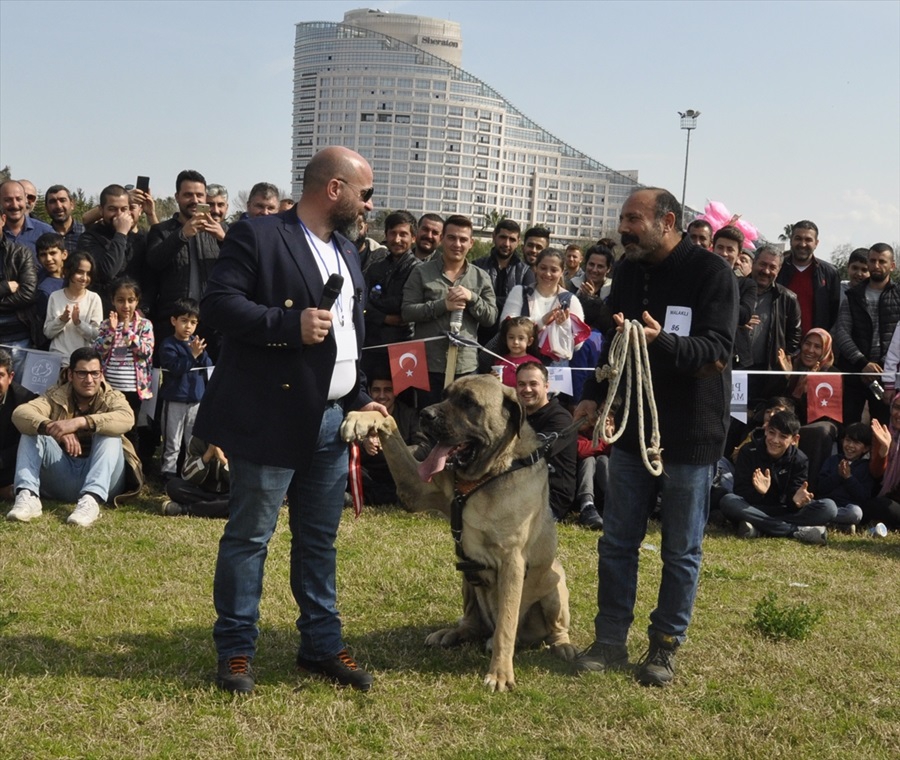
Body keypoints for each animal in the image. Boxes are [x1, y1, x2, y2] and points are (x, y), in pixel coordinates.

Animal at [342, 378, 580, 692]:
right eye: (445, 395)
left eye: (469, 402)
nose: (425, 414)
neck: (486, 475)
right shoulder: (415, 489)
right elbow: (390, 421)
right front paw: (362, 418)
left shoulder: (512, 562)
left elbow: (506, 626)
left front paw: (500, 673)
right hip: (467, 580)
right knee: (472, 623)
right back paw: (451, 633)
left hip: (555, 585)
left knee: (549, 628)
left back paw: (563, 645)